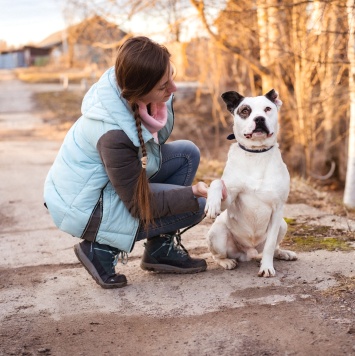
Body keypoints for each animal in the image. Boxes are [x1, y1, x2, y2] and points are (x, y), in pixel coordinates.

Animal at [206, 89, 298, 278]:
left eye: (268, 109)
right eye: (245, 110)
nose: (259, 119)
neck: (257, 153)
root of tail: (248, 252)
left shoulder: (277, 209)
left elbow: (270, 246)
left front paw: (267, 267)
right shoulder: (229, 197)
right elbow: (217, 182)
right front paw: (212, 203)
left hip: (282, 225)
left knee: (273, 247)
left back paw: (283, 253)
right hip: (216, 233)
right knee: (216, 255)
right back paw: (227, 262)